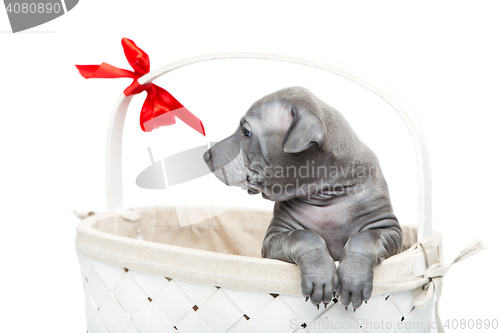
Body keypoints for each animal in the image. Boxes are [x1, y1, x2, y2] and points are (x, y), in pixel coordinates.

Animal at [203, 87, 402, 310]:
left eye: (246, 132)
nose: (206, 155)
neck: (324, 193)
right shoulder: (273, 238)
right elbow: (305, 236)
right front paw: (320, 278)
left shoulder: (388, 228)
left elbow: (364, 238)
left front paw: (354, 280)